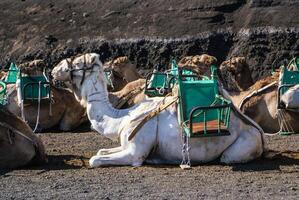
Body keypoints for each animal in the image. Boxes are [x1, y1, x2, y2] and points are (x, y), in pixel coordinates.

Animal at [51, 53, 264, 167]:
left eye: (78, 63)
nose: (54, 69)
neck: (121, 118)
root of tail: (260, 133)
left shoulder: (134, 153)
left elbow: (95, 160)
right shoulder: (125, 144)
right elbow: (101, 151)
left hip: (245, 144)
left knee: (227, 157)